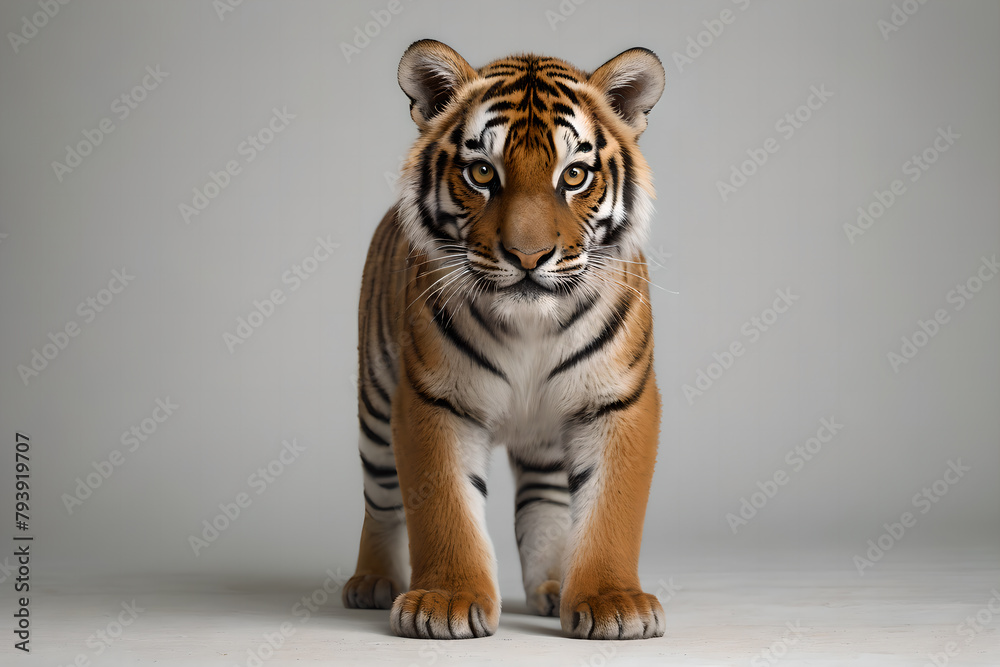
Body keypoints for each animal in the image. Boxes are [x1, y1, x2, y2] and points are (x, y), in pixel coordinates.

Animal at [342, 39, 667, 640]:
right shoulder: (432, 400)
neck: (531, 328)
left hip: (545, 437)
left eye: (574, 175)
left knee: (545, 504)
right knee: (381, 501)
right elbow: (445, 507)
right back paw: (371, 582)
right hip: (374, 406)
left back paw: (554, 585)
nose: (528, 256)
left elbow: (610, 509)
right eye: (481, 172)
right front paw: (444, 601)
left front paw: (612, 602)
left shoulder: (619, 399)